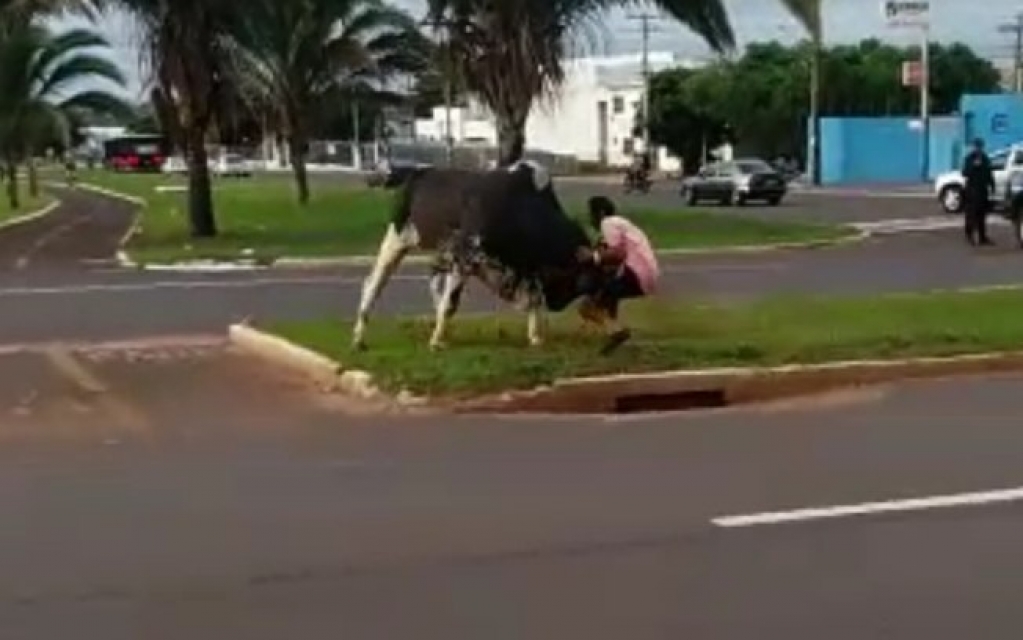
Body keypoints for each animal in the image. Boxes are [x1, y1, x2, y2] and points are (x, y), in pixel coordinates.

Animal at [351, 159, 597, 349]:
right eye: (582, 276)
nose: (558, 305)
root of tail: (414, 170)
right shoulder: (464, 256)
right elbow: (449, 303)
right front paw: (436, 342)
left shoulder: (525, 268)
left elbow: (533, 298)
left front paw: (535, 338)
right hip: (397, 240)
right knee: (373, 284)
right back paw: (358, 339)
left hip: (436, 252)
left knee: (432, 286)